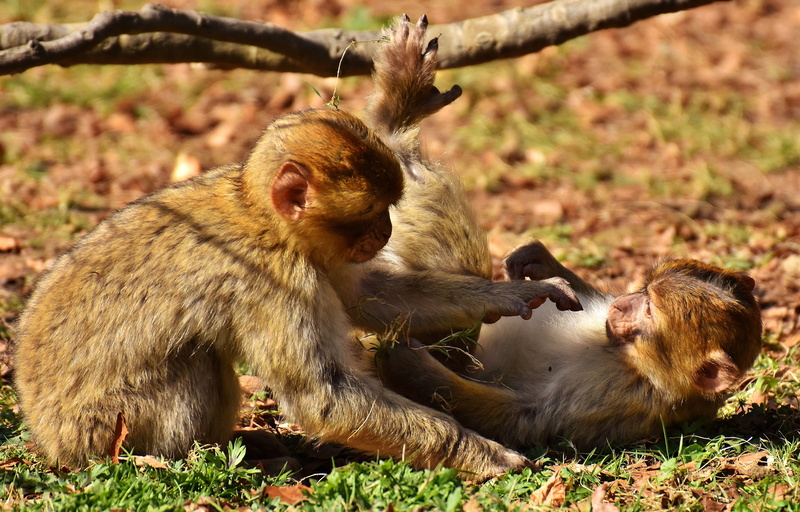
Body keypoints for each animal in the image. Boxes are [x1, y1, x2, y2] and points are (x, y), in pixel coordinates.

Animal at [377, 239, 763, 450]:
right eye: (644, 290)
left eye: (650, 310)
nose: (621, 304)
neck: (632, 361)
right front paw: (538, 260)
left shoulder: (619, 397)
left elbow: (528, 418)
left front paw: (410, 362)